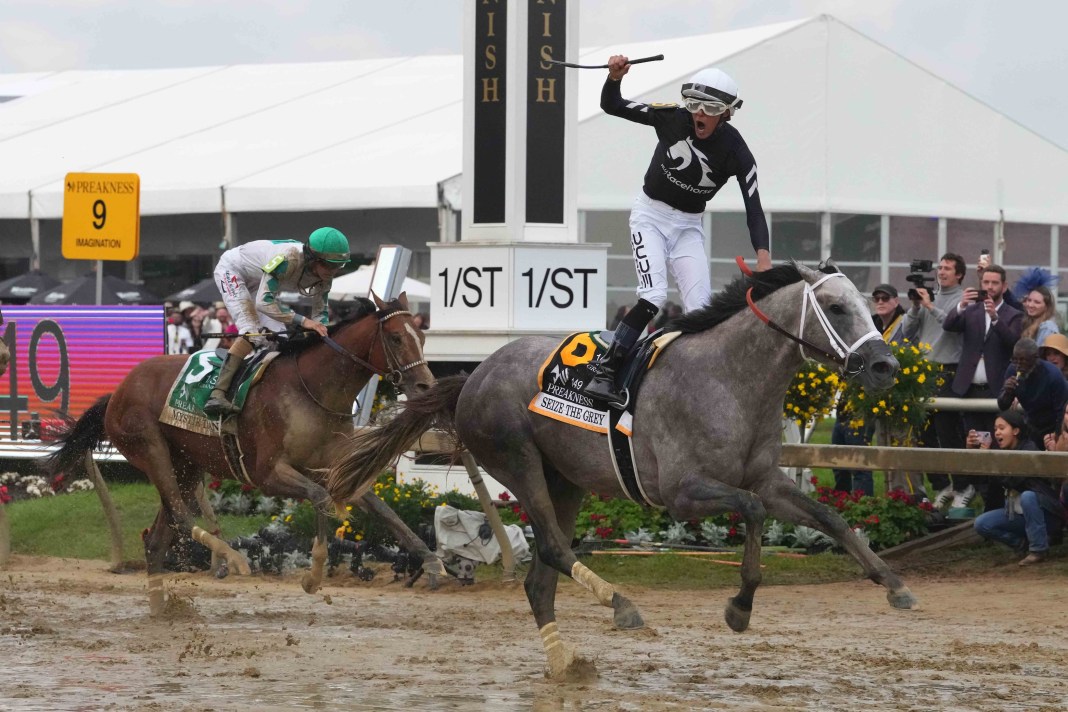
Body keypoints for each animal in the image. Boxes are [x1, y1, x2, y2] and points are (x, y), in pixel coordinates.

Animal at [44, 292, 437, 614]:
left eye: (422, 337)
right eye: (396, 337)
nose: (425, 386)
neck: (312, 391)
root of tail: (117, 391)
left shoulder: (330, 468)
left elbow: (384, 510)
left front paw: (432, 561)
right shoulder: (267, 474)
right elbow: (320, 498)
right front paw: (313, 575)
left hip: (185, 466)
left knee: (157, 539)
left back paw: (161, 611)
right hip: (150, 449)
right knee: (182, 519)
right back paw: (231, 558)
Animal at [326, 261, 918, 678]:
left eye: (868, 306)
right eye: (837, 307)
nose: (885, 365)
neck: (729, 379)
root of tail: (472, 376)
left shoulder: (767, 481)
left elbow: (831, 518)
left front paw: (893, 584)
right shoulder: (683, 492)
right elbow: (750, 514)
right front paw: (740, 606)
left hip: (565, 482)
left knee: (542, 578)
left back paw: (564, 662)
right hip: (518, 463)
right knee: (554, 548)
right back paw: (622, 606)